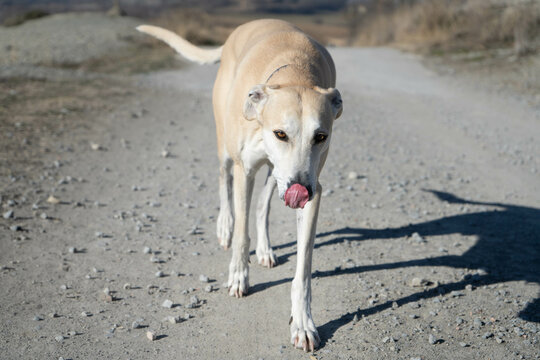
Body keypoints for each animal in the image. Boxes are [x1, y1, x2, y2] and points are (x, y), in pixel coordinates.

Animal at [137, 20, 344, 352]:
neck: (295, 73)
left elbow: (302, 271)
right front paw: (238, 276)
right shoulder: (245, 170)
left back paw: (266, 248)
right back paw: (224, 226)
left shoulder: (314, 191)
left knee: (263, 202)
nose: (300, 190)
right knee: (225, 182)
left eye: (321, 136)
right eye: (281, 133)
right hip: (227, 146)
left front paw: (303, 324)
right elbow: (241, 235)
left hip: (278, 173)